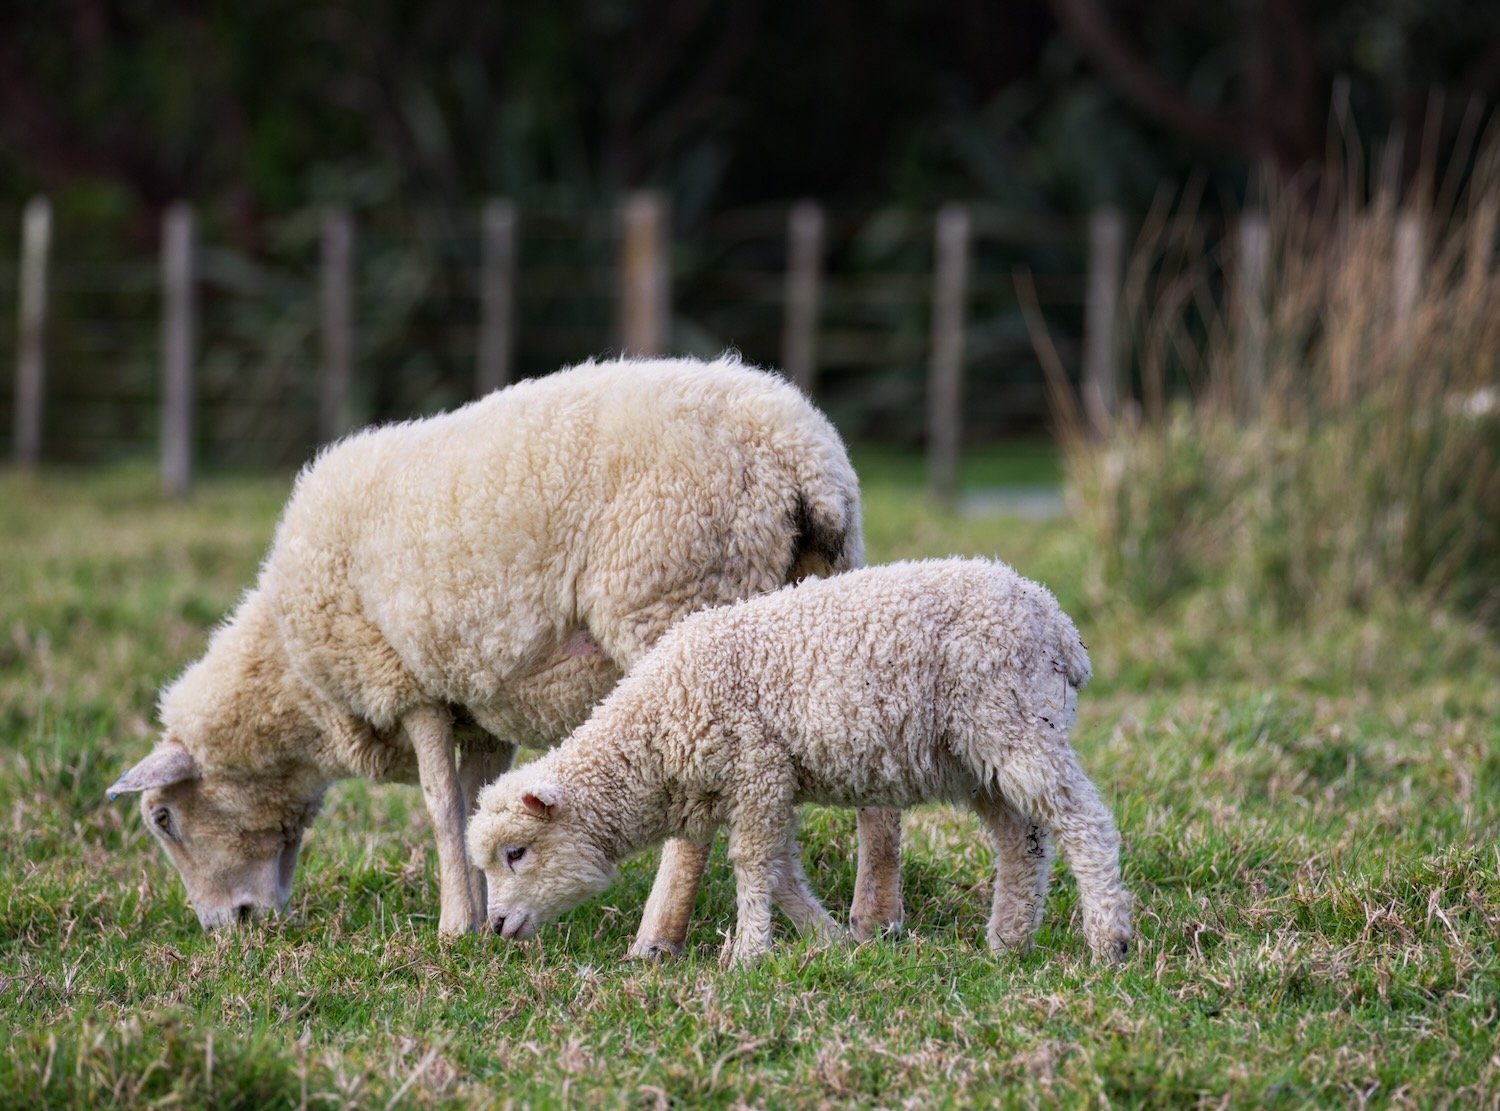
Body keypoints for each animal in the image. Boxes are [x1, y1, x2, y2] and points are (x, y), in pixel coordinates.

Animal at [108, 355, 900, 947]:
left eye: (162, 819)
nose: (229, 926)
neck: (296, 684)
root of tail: (801, 459)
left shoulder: (409, 683)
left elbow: (440, 807)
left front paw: (455, 926)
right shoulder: (478, 702)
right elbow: (474, 800)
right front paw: (493, 905)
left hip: (674, 599)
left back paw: (659, 935)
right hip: (829, 603)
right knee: (874, 766)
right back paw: (874, 918)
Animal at [474, 554, 1128, 959]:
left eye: (517, 852)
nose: (497, 926)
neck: (657, 728)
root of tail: (1057, 622)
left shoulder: (757, 766)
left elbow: (754, 862)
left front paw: (749, 953)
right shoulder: (763, 783)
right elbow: (784, 871)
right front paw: (829, 943)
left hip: (1013, 723)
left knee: (1084, 821)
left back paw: (1108, 941)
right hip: (978, 760)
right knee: (1023, 841)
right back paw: (1008, 944)